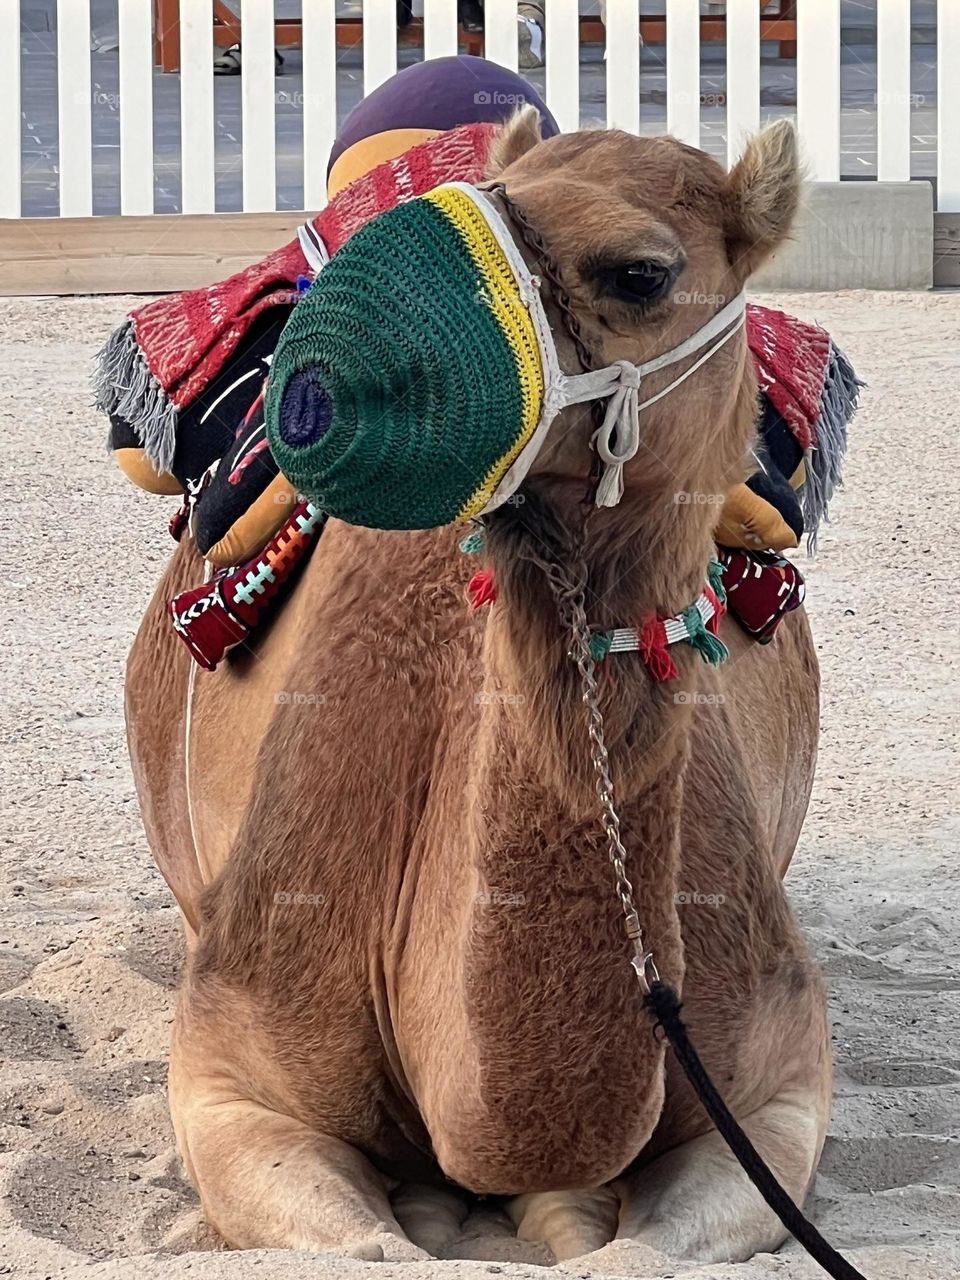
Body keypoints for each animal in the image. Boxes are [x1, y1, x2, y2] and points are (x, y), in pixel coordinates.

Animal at [126, 113, 831, 1267]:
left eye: (642, 272)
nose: (338, 370)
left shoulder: (782, 1080)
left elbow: (639, 1244)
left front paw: (551, 1209)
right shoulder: (230, 1068)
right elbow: (374, 1248)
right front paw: (433, 1210)